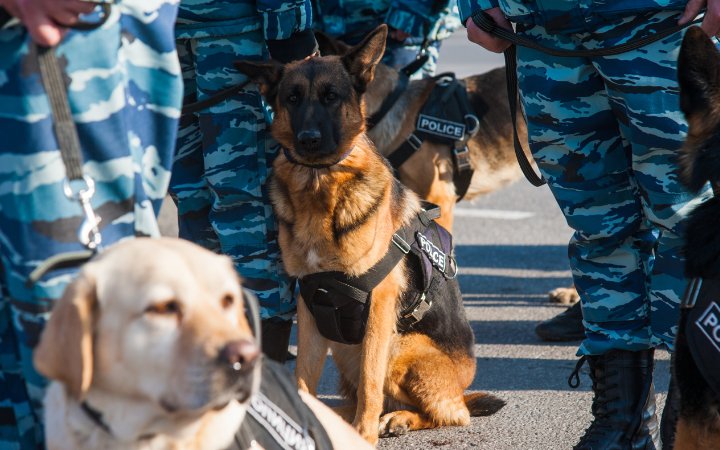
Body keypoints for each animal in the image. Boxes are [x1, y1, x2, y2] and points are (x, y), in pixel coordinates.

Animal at [233, 24, 504, 442]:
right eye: (292, 98)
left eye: (331, 96)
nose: (309, 139)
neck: (321, 185)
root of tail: (462, 383)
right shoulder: (309, 307)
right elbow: (303, 379)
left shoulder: (378, 305)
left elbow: (370, 382)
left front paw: (364, 434)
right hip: (344, 347)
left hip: (400, 347)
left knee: (450, 412)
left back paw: (396, 419)